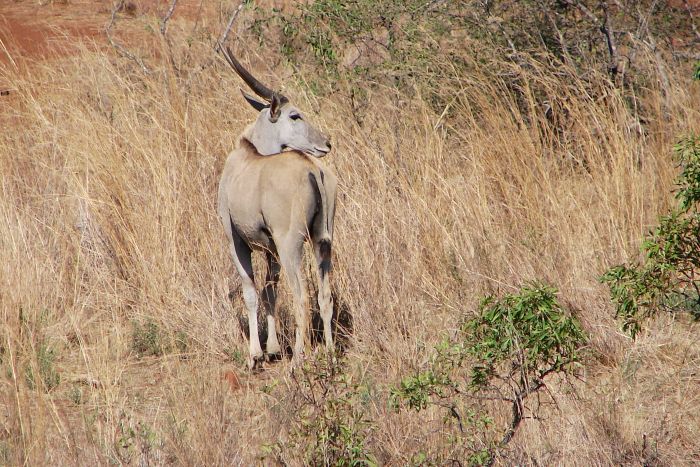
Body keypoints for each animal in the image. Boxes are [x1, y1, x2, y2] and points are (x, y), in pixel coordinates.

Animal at [219, 46, 340, 370]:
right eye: (295, 115)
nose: (326, 143)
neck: (248, 154)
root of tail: (314, 169)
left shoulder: (237, 242)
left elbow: (251, 291)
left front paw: (255, 355)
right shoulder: (270, 248)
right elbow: (269, 291)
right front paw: (272, 349)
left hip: (292, 245)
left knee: (302, 297)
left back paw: (299, 359)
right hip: (322, 243)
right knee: (324, 296)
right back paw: (331, 354)